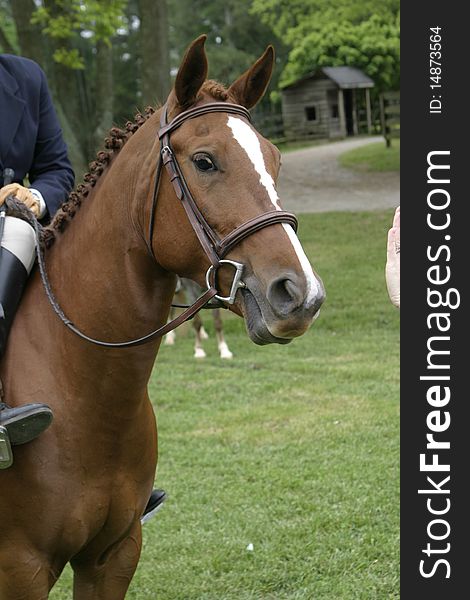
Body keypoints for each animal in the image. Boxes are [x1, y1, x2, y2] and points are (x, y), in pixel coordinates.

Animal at [0, 35, 324, 596]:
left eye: (275, 159)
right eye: (205, 161)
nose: (299, 294)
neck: (83, 391)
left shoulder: (113, 555)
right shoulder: (20, 568)